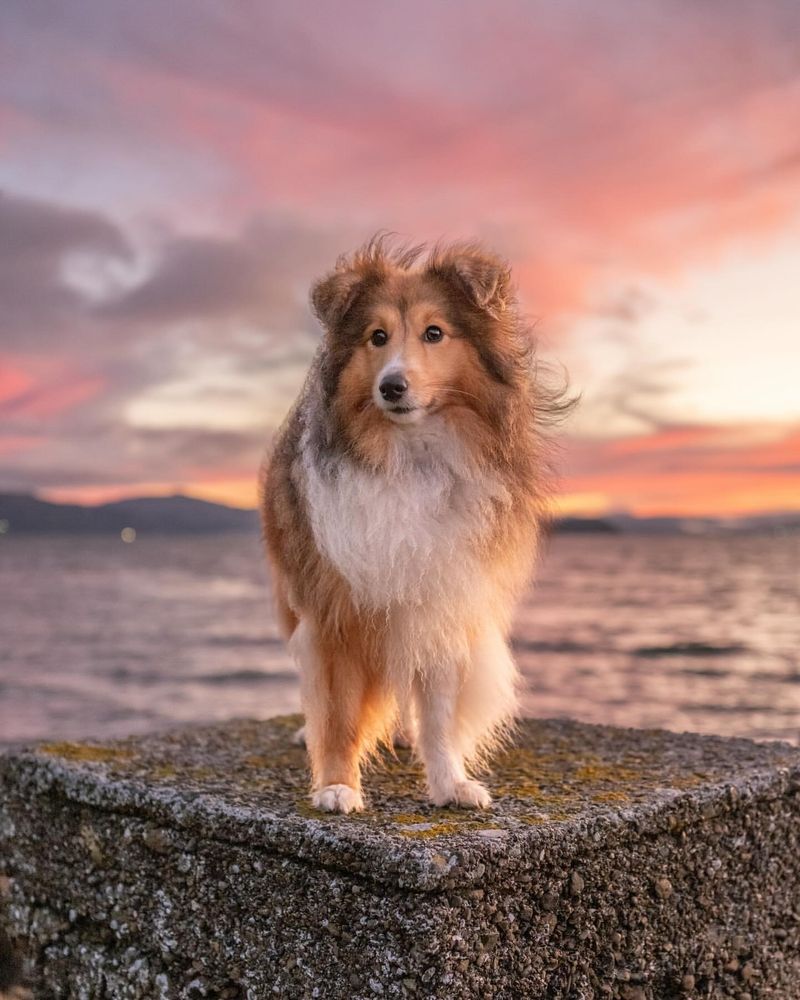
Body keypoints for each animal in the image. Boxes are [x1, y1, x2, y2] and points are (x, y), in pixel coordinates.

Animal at [260, 234, 560, 812]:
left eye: (434, 333)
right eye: (377, 337)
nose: (392, 387)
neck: (409, 458)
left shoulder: (440, 598)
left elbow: (440, 715)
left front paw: (449, 782)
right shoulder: (336, 609)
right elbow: (337, 710)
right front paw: (336, 785)